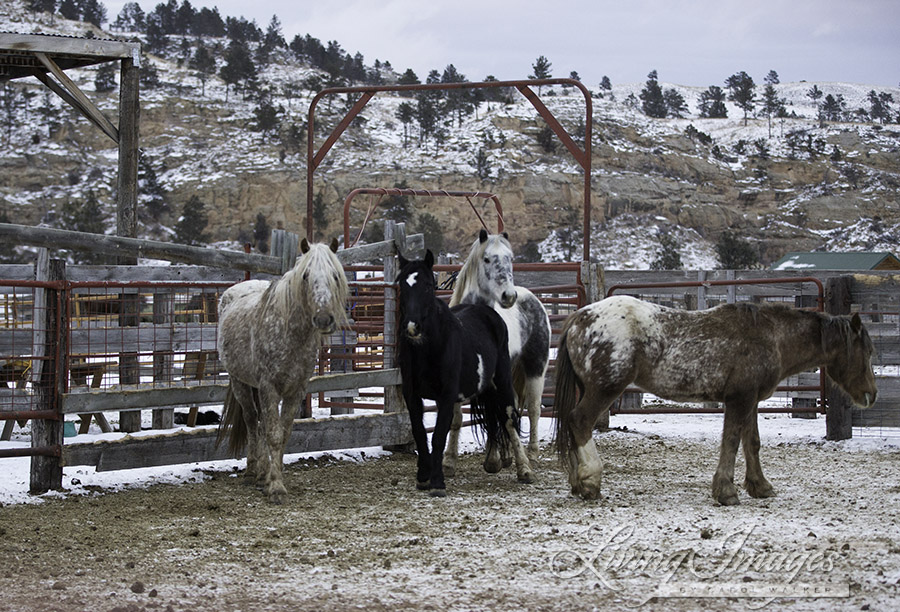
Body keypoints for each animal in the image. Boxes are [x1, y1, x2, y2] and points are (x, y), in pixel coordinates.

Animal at [552, 294, 876, 504]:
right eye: (867, 351)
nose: (871, 395)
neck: (771, 337)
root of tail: (579, 318)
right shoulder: (738, 400)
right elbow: (730, 442)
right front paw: (726, 491)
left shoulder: (751, 400)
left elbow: (751, 443)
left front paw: (760, 486)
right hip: (604, 389)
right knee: (580, 421)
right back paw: (591, 481)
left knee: (573, 425)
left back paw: (577, 482)